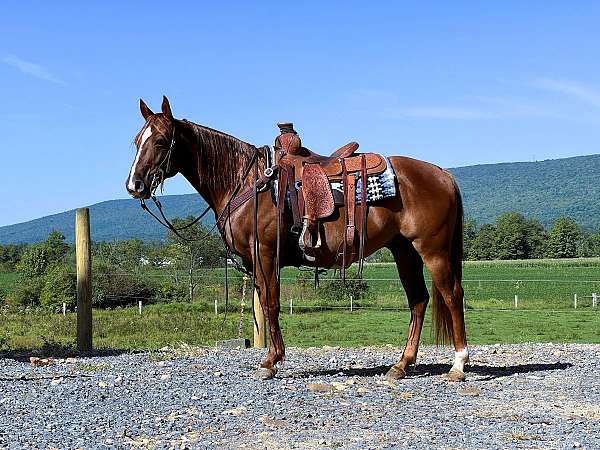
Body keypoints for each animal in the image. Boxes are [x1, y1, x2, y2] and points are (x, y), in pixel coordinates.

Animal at [125, 96, 468, 382]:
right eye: (136, 140)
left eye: (160, 141)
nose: (134, 185)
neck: (247, 183)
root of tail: (443, 173)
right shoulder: (256, 261)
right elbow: (266, 303)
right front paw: (271, 359)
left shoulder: (264, 253)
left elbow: (272, 304)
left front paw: (271, 362)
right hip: (404, 251)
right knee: (418, 300)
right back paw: (401, 365)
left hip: (433, 250)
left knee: (452, 296)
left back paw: (458, 365)